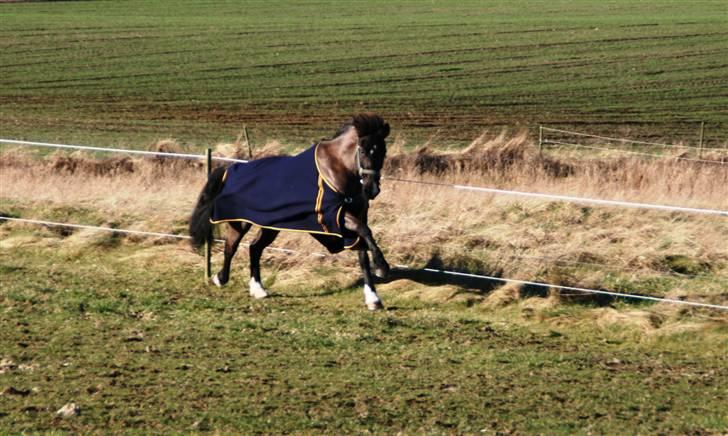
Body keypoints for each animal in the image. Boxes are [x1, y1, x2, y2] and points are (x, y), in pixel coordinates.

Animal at [191, 112, 390, 310]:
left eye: (383, 151)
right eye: (363, 151)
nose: (372, 190)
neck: (336, 170)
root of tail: (230, 169)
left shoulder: (358, 216)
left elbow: (363, 252)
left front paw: (373, 298)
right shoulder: (335, 216)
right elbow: (366, 232)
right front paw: (382, 267)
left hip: (270, 225)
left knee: (255, 248)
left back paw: (258, 289)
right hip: (240, 222)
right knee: (231, 247)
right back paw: (220, 278)